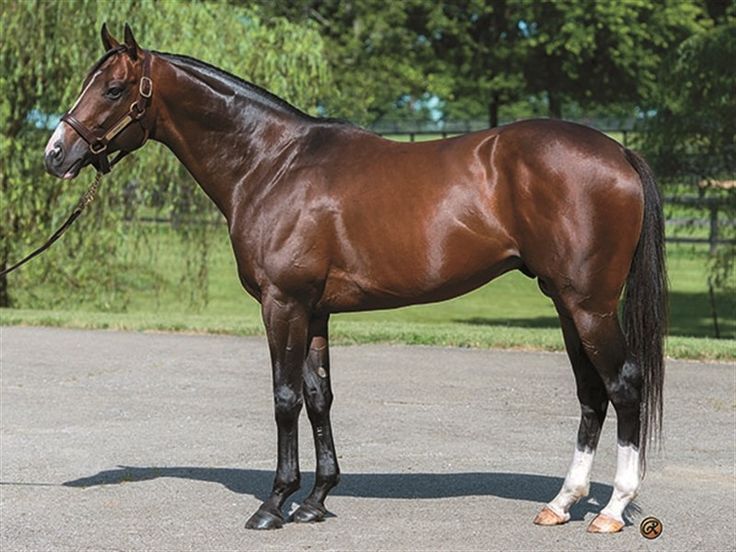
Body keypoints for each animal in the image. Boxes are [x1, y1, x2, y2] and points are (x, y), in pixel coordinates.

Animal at [44, 23, 668, 532]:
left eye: (114, 90)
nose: (55, 153)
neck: (271, 164)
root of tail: (619, 152)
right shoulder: (315, 310)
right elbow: (319, 397)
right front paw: (316, 500)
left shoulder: (282, 304)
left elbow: (285, 398)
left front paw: (274, 504)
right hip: (566, 303)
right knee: (591, 393)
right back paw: (561, 504)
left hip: (588, 305)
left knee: (623, 385)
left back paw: (612, 510)